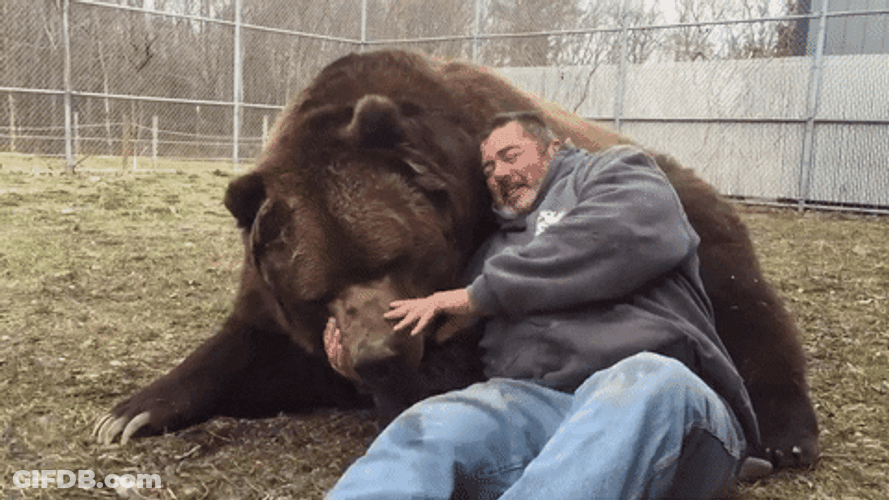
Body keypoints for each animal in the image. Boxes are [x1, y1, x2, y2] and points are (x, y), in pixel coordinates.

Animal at [94, 49, 818, 472]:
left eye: (394, 256)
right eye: (316, 291)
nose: (376, 354)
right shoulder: (273, 289)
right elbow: (250, 351)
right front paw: (127, 414)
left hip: (697, 220)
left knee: (745, 304)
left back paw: (786, 433)